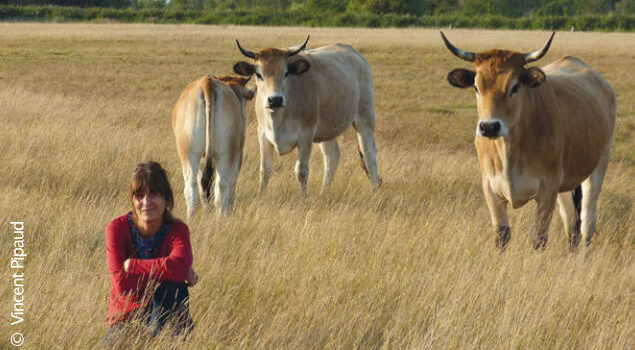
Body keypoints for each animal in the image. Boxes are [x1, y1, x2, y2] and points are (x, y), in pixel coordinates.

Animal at [174, 75, 256, 220]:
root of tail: (208, 82)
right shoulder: (238, 157)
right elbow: (231, 187)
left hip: (189, 154)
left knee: (192, 189)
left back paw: (191, 220)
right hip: (226, 155)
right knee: (222, 188)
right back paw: (221, 219)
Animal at [234, 37, 382, 196]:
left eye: (286, 73)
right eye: (259, 74)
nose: (275, 100)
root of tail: (353, 52)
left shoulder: (306, 136)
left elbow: (301, 172)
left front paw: (303, 197)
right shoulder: (263, 135)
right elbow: (265, 170)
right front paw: (261, 195)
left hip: (365, 119)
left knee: (369, 154)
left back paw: (375, 191)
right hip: (327, 130)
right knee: (332, 156)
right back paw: (324, 192)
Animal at [442, 32, 616, 250]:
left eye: (515, 86)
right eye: (476, 86)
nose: (489, 127)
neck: (509, 150)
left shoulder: (547, 190)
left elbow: (539, 237)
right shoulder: (491, 189)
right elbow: (501, 235)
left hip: (598, 166)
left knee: (587, 221)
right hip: (565, 185)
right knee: (570, 222)